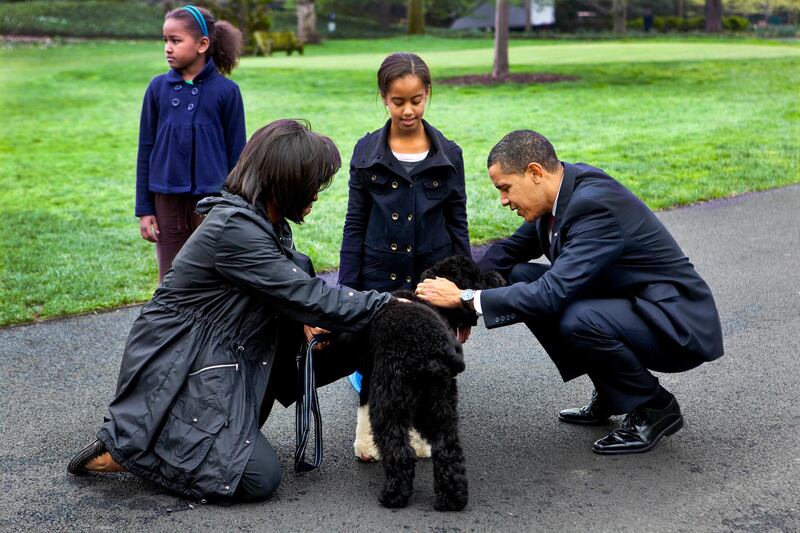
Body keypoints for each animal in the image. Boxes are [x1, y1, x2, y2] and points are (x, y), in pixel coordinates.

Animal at [346, 256, 504, 510]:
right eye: (476, 276)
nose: (499, 278)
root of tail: (430, 351)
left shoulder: (372, 378)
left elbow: (364, 411)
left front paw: (366, 448)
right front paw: (420, 447)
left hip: (391, 399)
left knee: (399, 451)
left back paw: (394, 495)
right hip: (440, 399)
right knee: (448, 449)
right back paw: (452, 498)